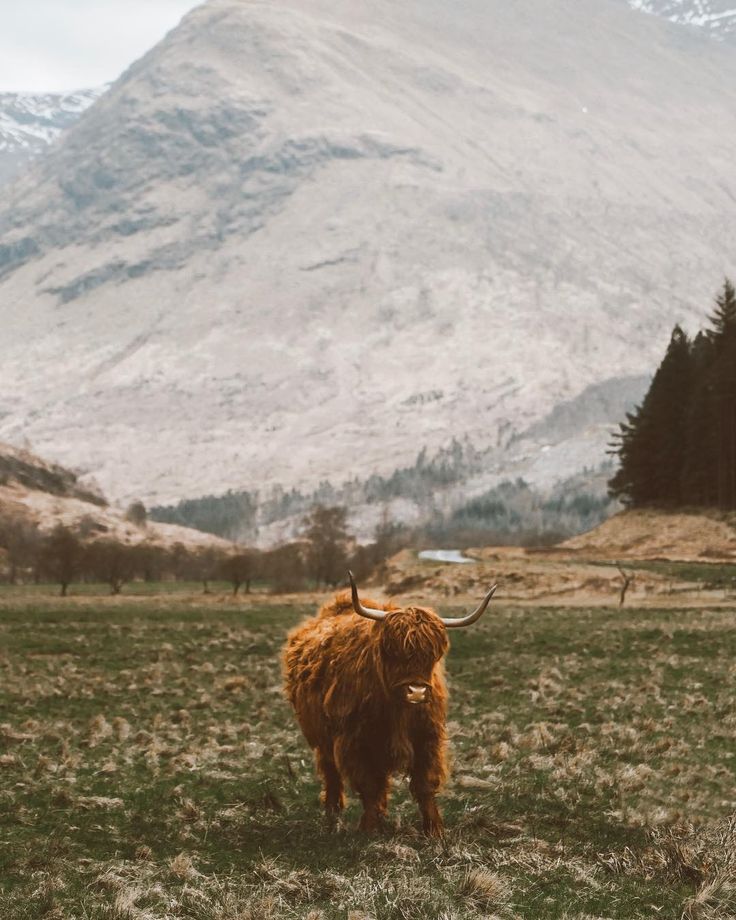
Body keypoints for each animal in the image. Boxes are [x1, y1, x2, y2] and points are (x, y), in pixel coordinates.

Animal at [284, 572, 498, 836]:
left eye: (433, 655)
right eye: (392, 651)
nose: (417, 691)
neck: (398, 711)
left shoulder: (427, 737)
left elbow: (424, 785)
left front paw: (434, 830)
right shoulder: (354, 741)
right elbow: (368, 785)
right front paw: (368, 828)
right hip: (321, 735)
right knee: (331, 770)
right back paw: (333, 811)